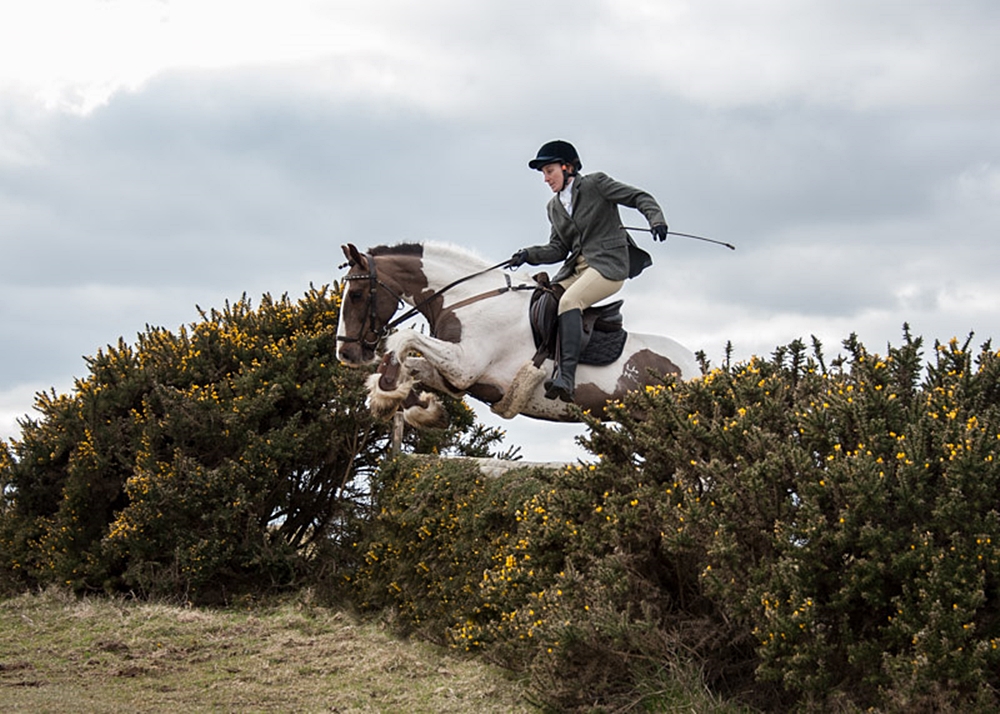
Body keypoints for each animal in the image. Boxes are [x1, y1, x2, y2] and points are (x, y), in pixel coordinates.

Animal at [335, 241, 699, 428]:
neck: (468, 297)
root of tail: (702, 372)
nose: (345, 353)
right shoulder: (457, 376)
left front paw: (385, 391)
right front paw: (421, 407)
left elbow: (403, 338)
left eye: (356, 295)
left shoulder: (465, 365)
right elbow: (412, 366)